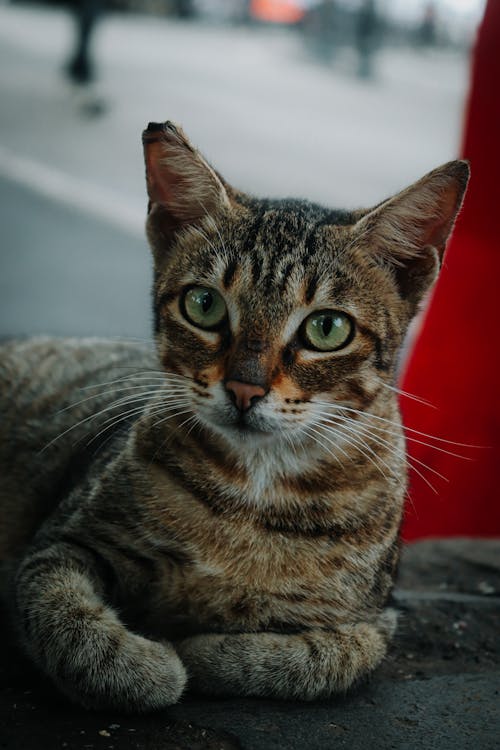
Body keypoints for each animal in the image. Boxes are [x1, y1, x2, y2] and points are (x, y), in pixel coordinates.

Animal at [0, 122, 468, 712]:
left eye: (327, 328)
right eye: (204, 305)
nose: (245, 387)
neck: (254, 491)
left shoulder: (374, 621)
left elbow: (323, 660)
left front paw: (207, 652)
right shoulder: (64, 542)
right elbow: (66, 618)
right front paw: (146, 668)